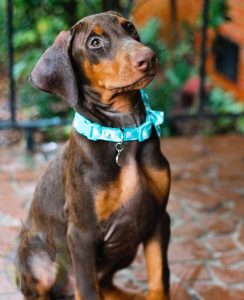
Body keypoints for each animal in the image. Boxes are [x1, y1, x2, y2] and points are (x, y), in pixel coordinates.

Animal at [16, 11, 171, 300]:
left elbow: (159, 278)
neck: (123, 134)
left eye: (130, 28)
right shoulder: (82, 233)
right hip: (37, 258)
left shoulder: (159, 217)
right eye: (95, 42)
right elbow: (87, 288)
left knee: (106, 284)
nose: (149, 57)